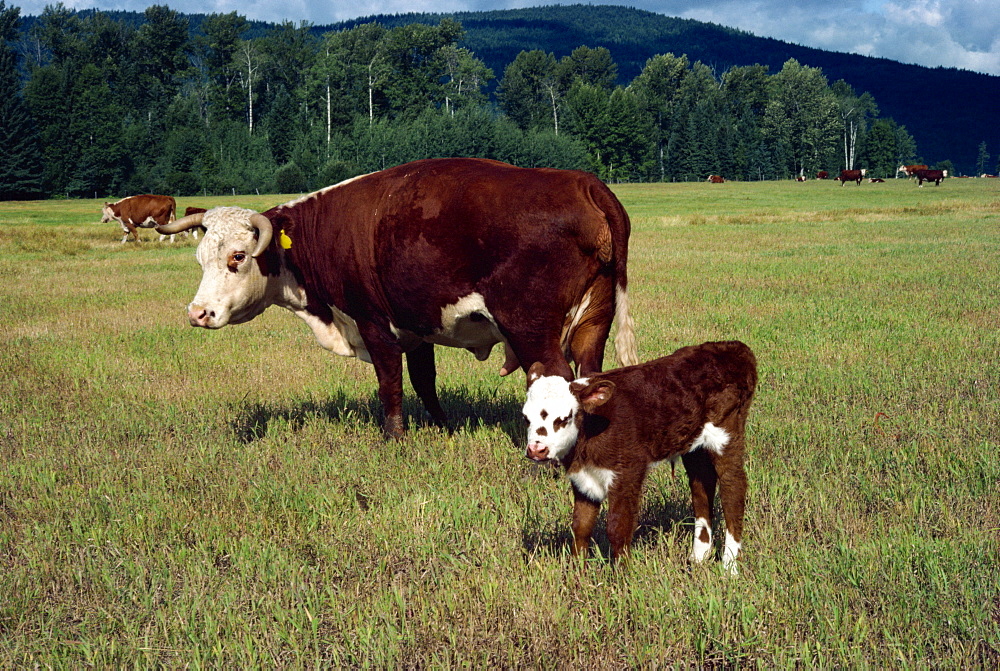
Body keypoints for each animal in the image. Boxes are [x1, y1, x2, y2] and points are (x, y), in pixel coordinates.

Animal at [156, 158, 640, 440]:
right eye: (201, 257)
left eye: (238, 256)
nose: (198, 313)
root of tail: (582, 184)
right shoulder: (417, 326)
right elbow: (424, 380)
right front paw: (443, 428)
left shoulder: (373, 323)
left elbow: (390, 383)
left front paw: (394, 437)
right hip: (593, 324)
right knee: (591, 376)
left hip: (531, 329)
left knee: (558, 380)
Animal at [524, 344, 756, 576]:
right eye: (526, 418)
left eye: (564, 418)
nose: (537, 450)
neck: (590, 428)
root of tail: (733, 347)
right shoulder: (582, 477)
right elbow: (581, 526)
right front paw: (576, 572)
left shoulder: (628, 472)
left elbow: (618, 527)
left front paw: (622, 575)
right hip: (694, 447)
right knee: (701, 486)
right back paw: (698, 557)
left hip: (727, 432)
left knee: (733, 487)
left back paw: (730, 566)